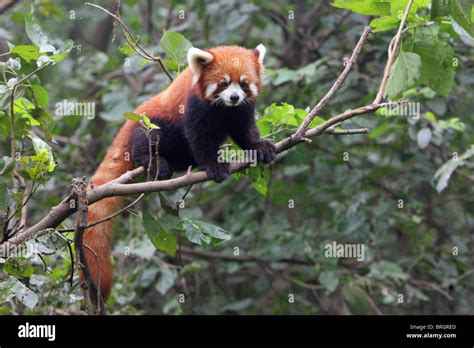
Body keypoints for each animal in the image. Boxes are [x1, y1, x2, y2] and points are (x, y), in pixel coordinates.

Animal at [81, 44, 274, 304]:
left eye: (243, 84)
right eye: (223, 84)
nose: (234, 98)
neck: (224, 109)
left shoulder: (241, 111)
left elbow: (245, 131)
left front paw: (259, 147)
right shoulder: (193, 106)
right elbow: (199, 137)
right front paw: (213, 166)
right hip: (152, 122)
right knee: (149, 138)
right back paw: (154, 162)